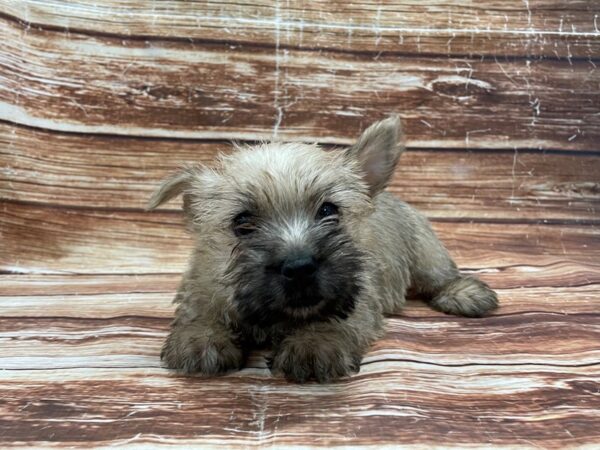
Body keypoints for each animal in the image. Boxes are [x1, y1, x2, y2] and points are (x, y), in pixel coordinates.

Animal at [149, 117, 496, 384]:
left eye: (328, 210)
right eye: (242, 222)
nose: (300, 267)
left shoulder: (357, 294)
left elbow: (334, 316)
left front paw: (314, 343)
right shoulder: (203, 282)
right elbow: (200, 309)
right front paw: (201, 337)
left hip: (426, 254)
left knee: (440, 277)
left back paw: (463, 294)